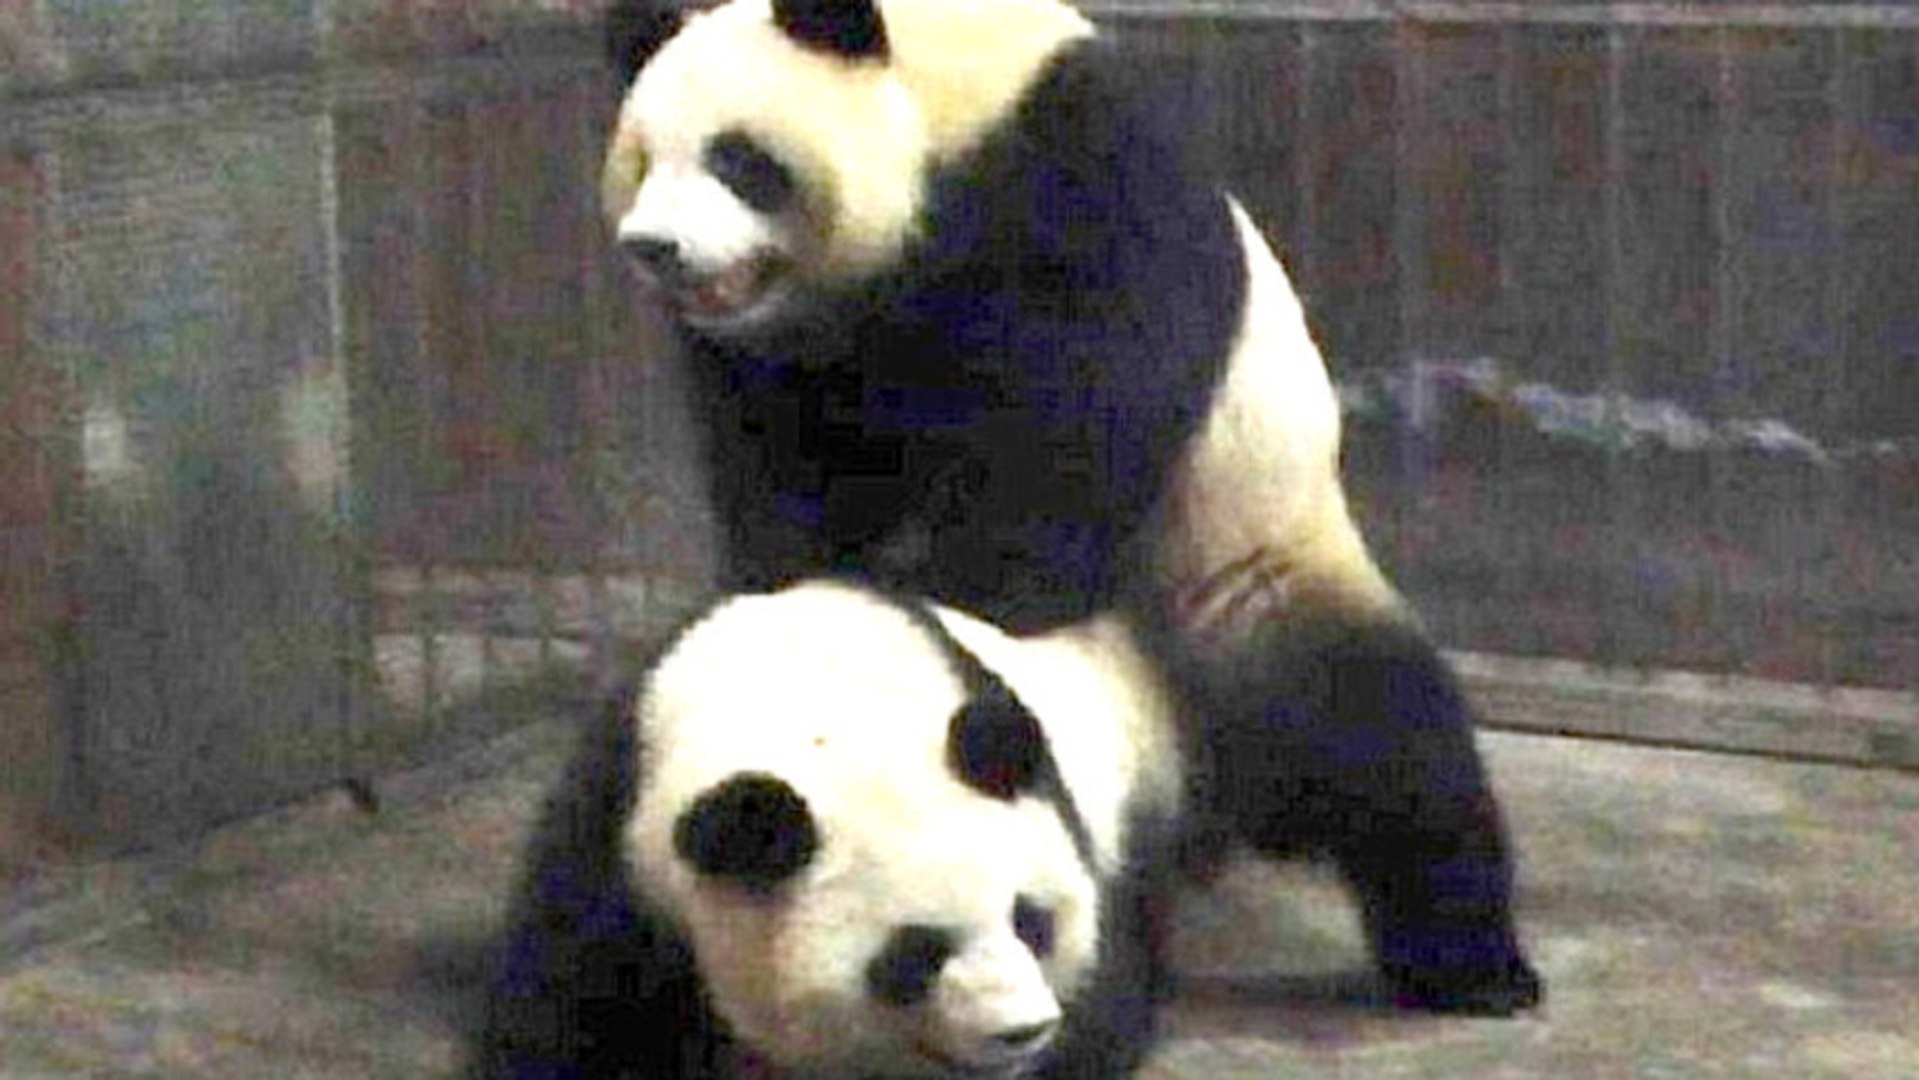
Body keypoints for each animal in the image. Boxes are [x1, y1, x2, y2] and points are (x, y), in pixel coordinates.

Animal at [477, 579, 1189, 1079]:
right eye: (914, 954)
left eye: (1030, 920)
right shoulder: (618, 837)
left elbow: (1099, 1018)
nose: (1020, 1030)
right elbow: (572, 1016)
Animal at [599, 0, 1541, 1016]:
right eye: (641, 159)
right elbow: (786, 463)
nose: (654, 249)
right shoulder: (789, 352)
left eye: (738, 159)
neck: (950, 104)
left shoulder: (1070, 172)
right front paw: (793, 585)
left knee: (1385, 739)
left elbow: (1091, 403)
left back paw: (1476, 969)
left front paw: (983, 586)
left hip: (1246, 583)